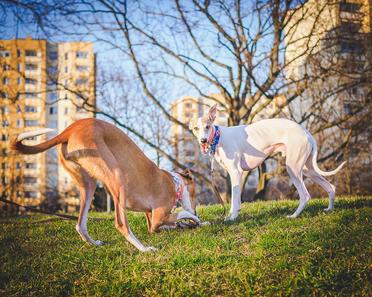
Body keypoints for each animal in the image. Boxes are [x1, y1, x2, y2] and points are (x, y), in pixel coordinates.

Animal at [10, 117, 201, 250]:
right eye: (195, 194)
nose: (196, 211)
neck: (174, 183)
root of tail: (70, 130)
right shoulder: (157, 218)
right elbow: (181, 213)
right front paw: (194, 219)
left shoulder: (152, 221)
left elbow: (172, 223)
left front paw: (189, 223)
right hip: (117, 178)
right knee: (121, 224)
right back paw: (144, 249)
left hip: (88, 185)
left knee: (80, 225)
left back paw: (94, 243)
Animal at [190, 104, 348, 220]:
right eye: (196, 128)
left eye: (207, 126)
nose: (203, 140)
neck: (219, 137)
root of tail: (306, 132)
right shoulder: (234, 174)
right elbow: (236, 200)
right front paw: (232, 214)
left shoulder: (236, 172)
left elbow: (234, 199)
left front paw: (232, 218)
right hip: (308, 169)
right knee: (330, 187)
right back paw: (329, 209)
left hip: (293, 168)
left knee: (305, 196)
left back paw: (293, 216)